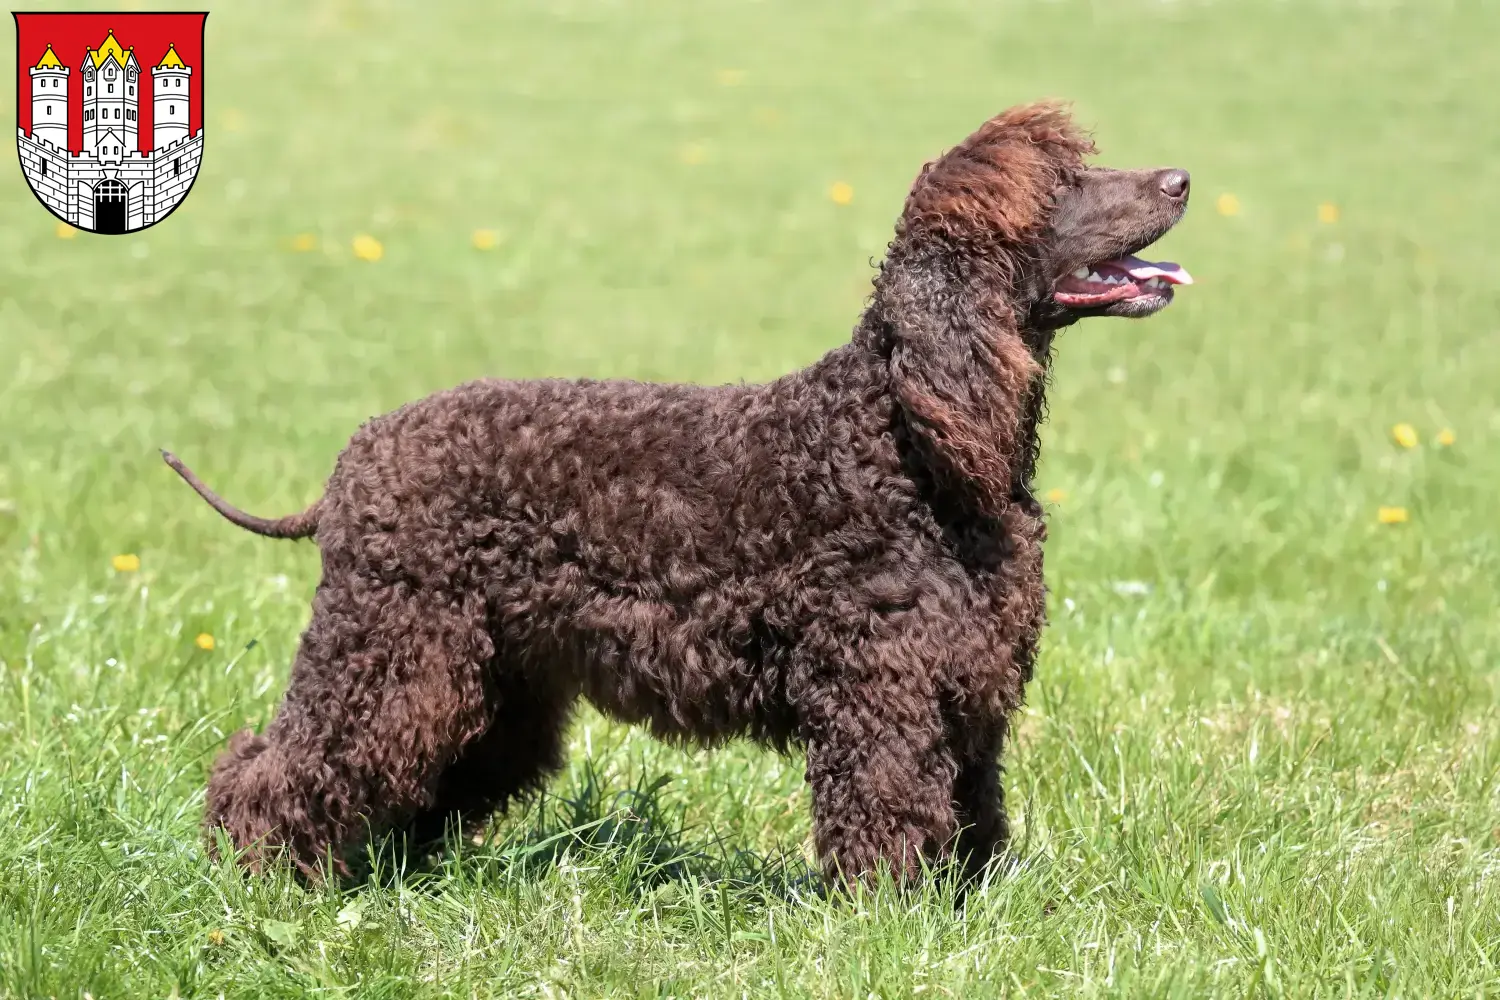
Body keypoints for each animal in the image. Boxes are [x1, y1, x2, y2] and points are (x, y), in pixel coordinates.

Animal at [167, 101, 1194, 881]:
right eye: (1061, 187)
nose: (1182, 178)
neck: (906, 440)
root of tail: (353, 460)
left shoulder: (968, 689)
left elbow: (973, 814)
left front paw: (966, 907)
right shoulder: (881, 691)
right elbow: (890, 813)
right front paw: (891, 922)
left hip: (491, 684)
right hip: (391, 646)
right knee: (279, 767)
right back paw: (258, 879)